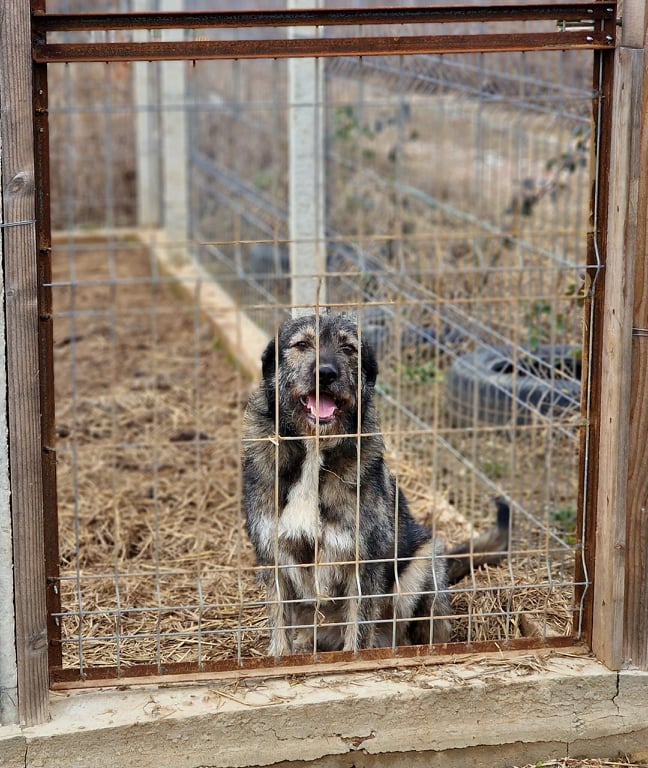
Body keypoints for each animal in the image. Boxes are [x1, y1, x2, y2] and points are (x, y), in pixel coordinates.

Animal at [240, 312, 508, 656]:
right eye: (302, 345)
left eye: (348, 348)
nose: (325, 373)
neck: (314, 452)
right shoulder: (273, 558)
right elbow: (279, 630)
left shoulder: (364, 565)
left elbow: (358, 633)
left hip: (424, 561)